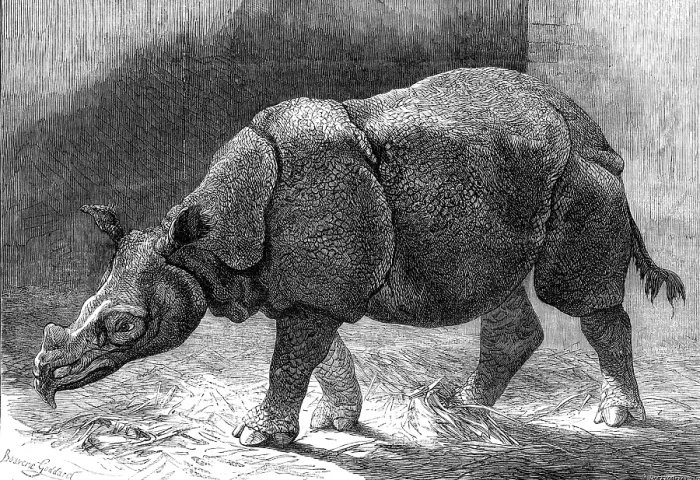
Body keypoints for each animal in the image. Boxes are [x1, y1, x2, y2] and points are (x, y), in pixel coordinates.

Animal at [33, 68, 685, 447]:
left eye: (125, 326)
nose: (45, 376)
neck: (204, 243)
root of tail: (593, 128)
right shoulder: (301, 289)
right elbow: (320, 356)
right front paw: (335, 421)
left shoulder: (314, 292)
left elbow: (291, 361)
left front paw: (256, 437)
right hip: (511, 183)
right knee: (499, 293)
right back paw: (465, 410)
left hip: (583, 176)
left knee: (575, 297)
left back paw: (615, 418)